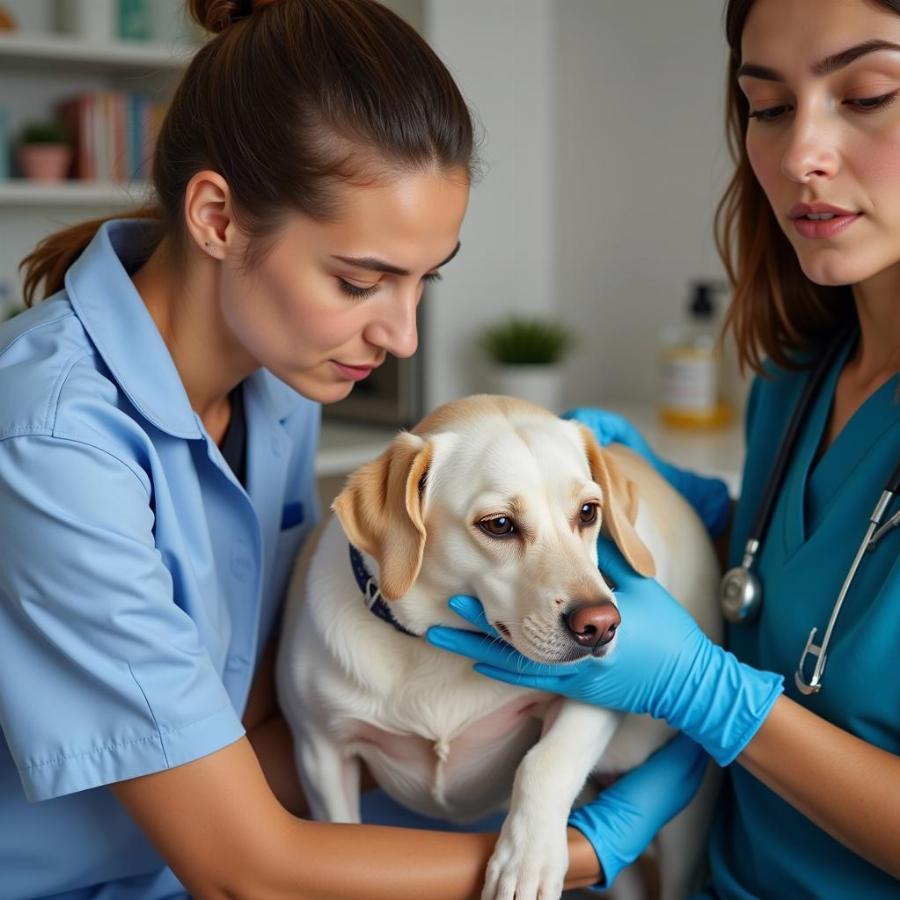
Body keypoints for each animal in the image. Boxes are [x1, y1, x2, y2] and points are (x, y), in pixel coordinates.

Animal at [278, 396, 720, 900]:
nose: (602, 626)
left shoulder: (597, 697)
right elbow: (338, 825)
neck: (436, 652)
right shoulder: (320, 754)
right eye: (501, 524)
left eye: (589, 511)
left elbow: (545, 760)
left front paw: (528, 859)